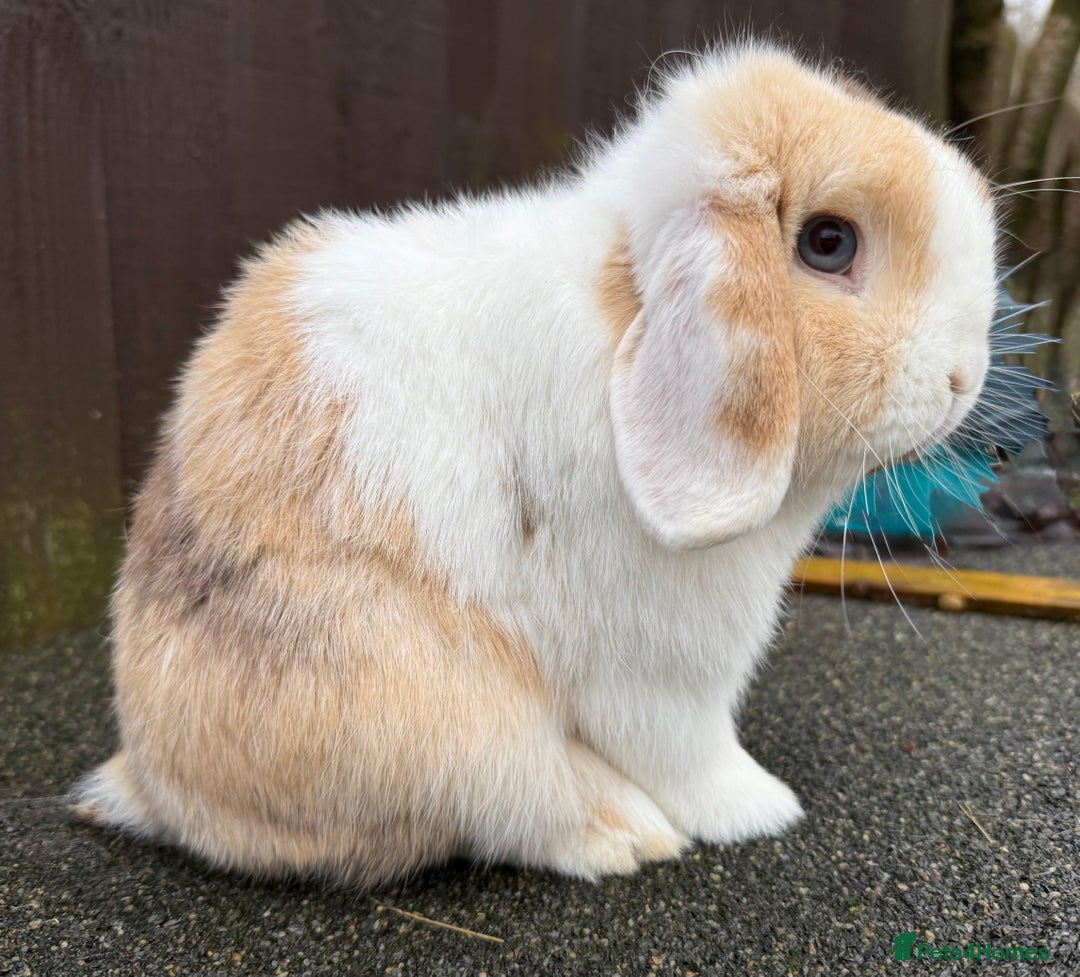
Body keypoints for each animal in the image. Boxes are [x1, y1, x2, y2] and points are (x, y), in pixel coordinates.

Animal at [72, 42, 998, 887]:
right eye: (828, 242)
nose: (964, 377)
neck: (624, 303)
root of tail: (151, 778)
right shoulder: (665, 665)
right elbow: (690, 751)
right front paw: (763, 808)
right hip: (444, 722)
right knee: (511, 804)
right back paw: (625, 830)